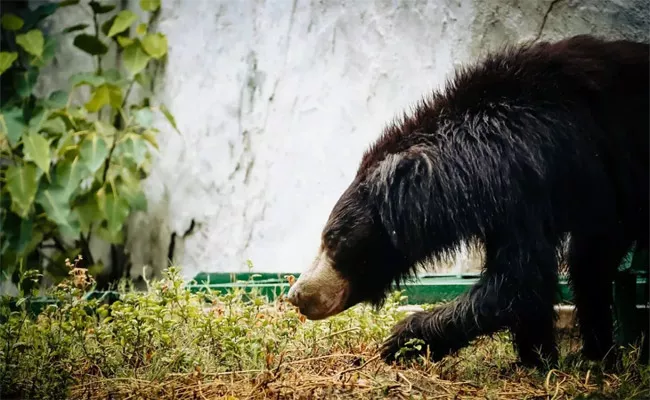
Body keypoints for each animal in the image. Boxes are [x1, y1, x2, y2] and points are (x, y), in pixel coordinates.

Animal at [286, 36, 644, 368]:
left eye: (333, 241)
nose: (296, 295)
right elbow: (530, 279)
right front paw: (536, 359)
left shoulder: (529, 186)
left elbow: (519, 279)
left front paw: (401, 339)